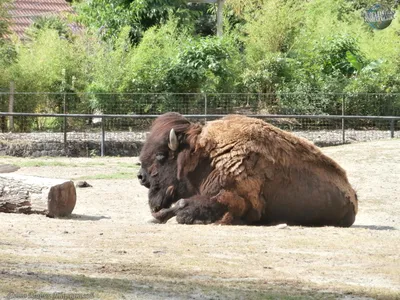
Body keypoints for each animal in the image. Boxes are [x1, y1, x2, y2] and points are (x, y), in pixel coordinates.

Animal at [139, 113, 358, 227]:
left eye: (160, 155)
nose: (141, 176)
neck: (205, 157)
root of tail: (352, 194)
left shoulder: (235, 198)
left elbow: (184, 205)